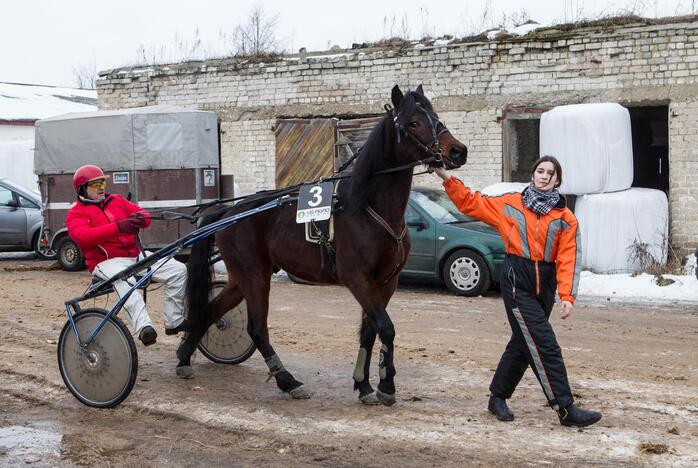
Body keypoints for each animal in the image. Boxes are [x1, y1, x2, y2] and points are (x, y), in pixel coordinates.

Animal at [177, 85, 464, 406]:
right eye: (413, 122)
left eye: (436, 116)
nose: (457, 151)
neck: (369, 207)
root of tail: (229, 211)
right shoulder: (357, 278)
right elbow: (386, 328)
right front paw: (386, 386)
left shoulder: (386, 281)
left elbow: (370, 331)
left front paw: (364, 385)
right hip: (254, 275)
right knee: (257, 329)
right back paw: (288, 381)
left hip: (242, 278)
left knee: (209, 311)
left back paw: (184, 358)